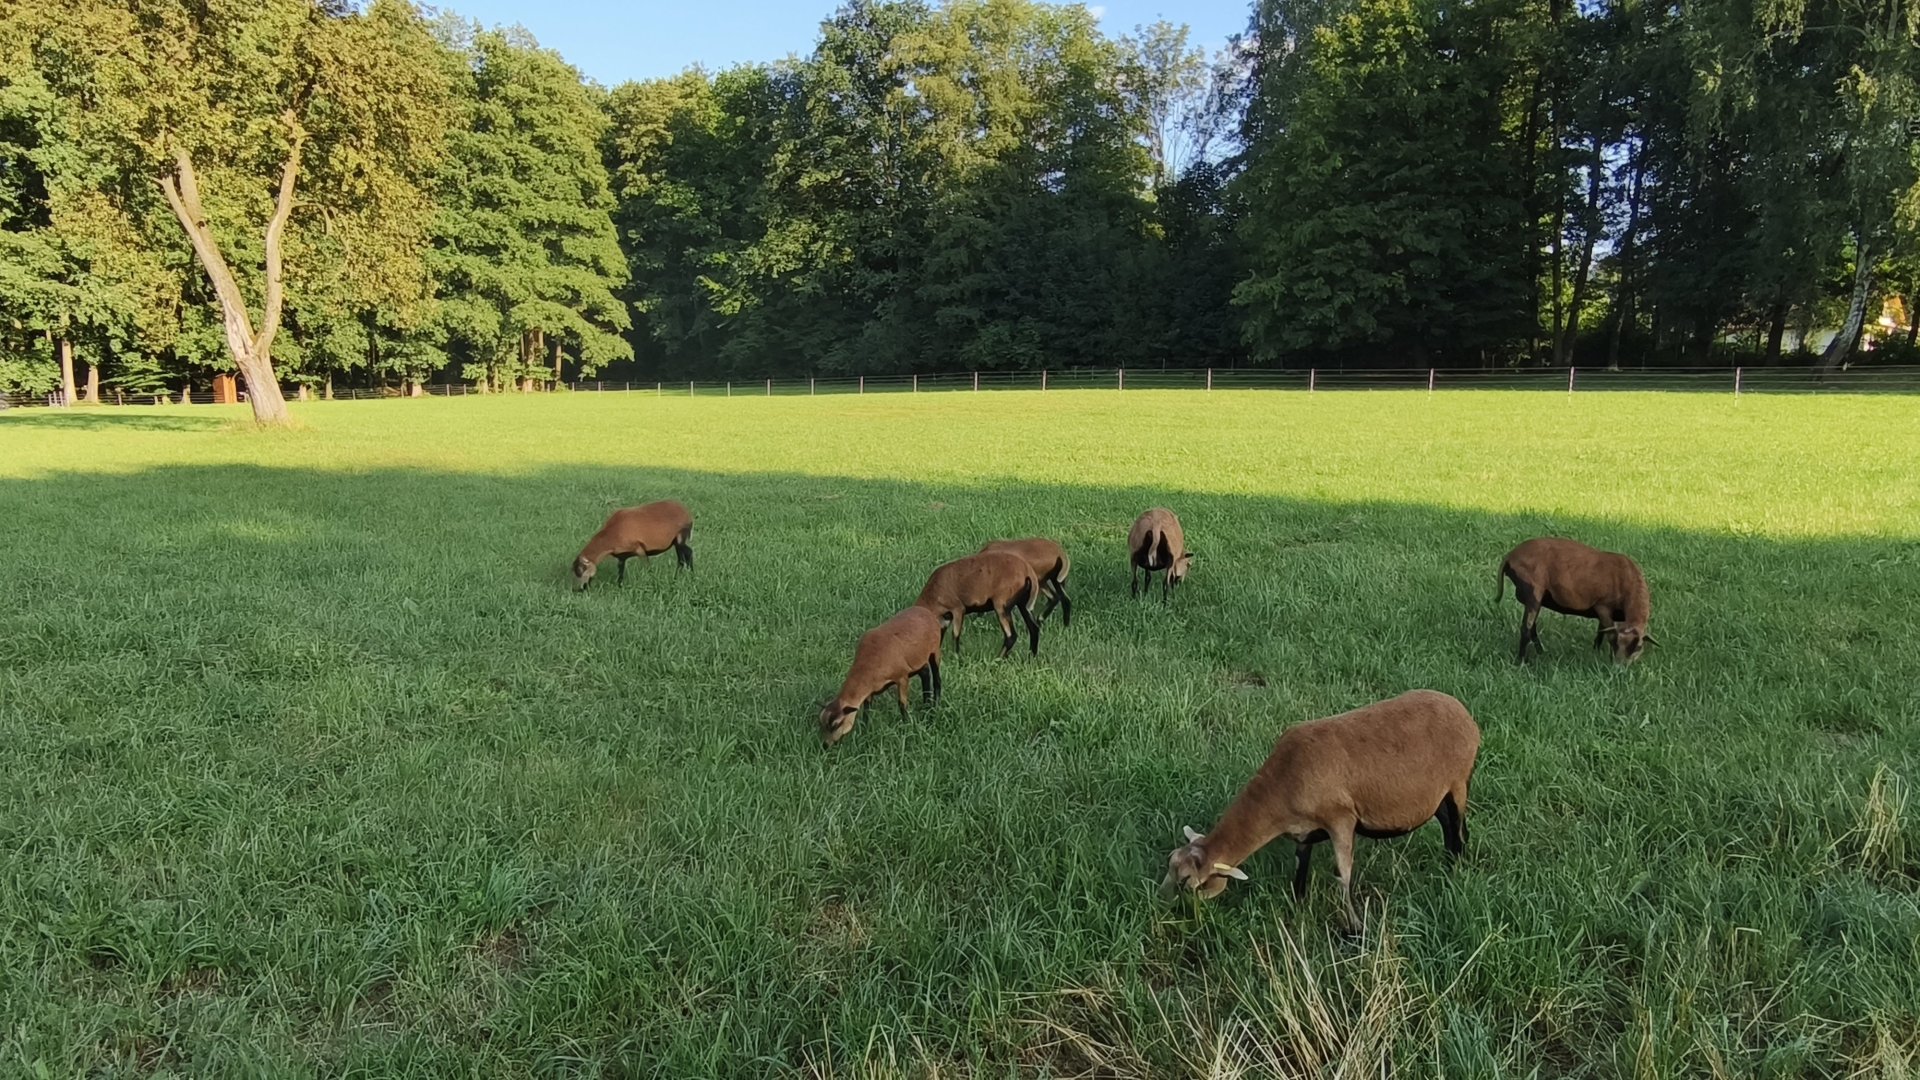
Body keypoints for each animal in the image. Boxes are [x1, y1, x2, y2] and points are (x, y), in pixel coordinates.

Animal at [818, 606, 943, 747]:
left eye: (836, 724)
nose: (825, 745)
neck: (868, 665)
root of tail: (925, 610)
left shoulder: (902, 677)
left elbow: (902, 704)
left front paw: (906, 728)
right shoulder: (869, 690)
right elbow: (867, 709)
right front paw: (865, 731)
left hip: (935, 651)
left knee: (937, 679)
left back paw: (933, 708)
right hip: (917, 660)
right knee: (925, 672)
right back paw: (927, 707)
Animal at [914, 551, 1042, 658]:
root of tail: (1027, 571)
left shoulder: (958, 609)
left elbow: (955, 635)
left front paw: (956, 657)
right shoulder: (944, 620)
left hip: (1001, 605)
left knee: (1011, 636)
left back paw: (998, 658)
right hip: (1023, 604)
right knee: (1034, 628)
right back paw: (1031, 657)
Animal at [1160, 689, 1480, 932]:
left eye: (1187, 881)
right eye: (1170, 863)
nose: (1160, 904)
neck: (1280, 786)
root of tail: (1465, 714)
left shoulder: (1341, 820)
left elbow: (1343, 875)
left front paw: (1356, 929)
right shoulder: (1304, 831)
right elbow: (1300, 868)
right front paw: (1298, 906)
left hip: (1458, 783)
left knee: (1459, 831)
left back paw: (1455, 871)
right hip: (1435, 798)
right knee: (1448, 827)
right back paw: (1446, 866)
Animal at [1496, 537, 1656, 664]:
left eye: (1639, 646)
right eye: (1617, 643)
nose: (1620, 668)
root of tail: (1509, 557)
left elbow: (1601, 631)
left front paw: (1595, 652)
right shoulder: (1602, 606)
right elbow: (1608, 633)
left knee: (1532, 627)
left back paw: (1541, 652)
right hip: (1533, 590)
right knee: (1526, 628)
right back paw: (1522, 662)